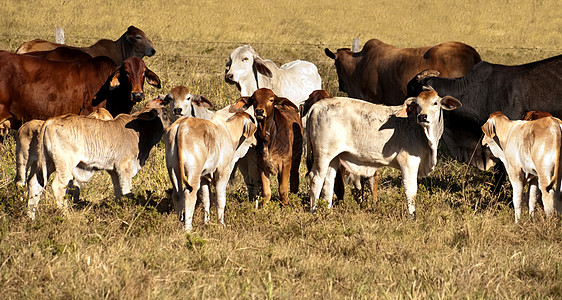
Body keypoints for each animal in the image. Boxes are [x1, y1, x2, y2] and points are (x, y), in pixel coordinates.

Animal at [306, 86, 460, 218]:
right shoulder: (408, 162)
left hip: (334, 158)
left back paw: (327, 210)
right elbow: (410, 190)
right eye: (417, 105)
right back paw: (314, 212)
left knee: (328, 181)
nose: (422, 117)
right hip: (323, 155)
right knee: (316, 178)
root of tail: (317, 106)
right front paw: (412, 216)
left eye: (435, 103)